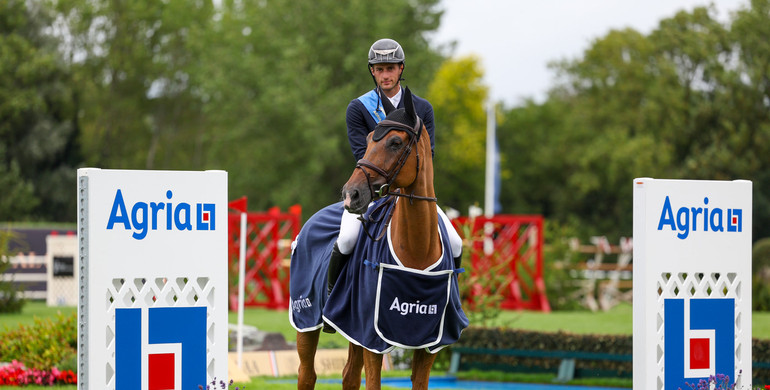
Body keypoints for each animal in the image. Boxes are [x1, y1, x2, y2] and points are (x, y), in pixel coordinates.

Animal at [292, 87, 462, 388]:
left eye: (395, 142)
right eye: (369, 139)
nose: (351, 194)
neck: (417, 251)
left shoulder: (428, 344)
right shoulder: (372, 338)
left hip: (350, 328)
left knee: (349, 375)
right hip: (307, 320)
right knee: (307, 374)